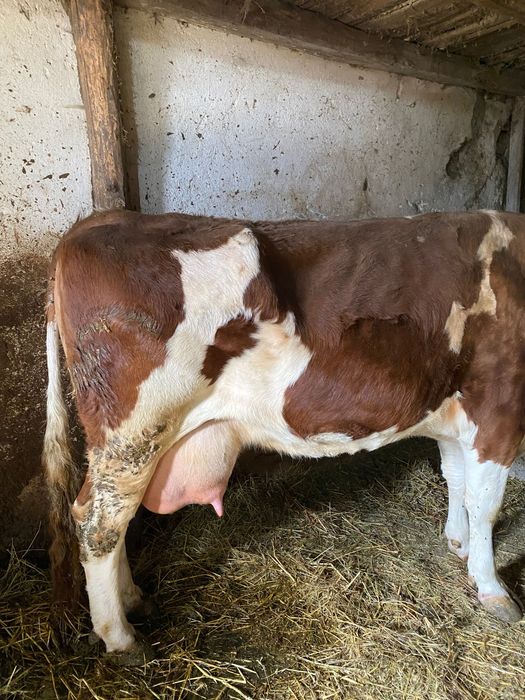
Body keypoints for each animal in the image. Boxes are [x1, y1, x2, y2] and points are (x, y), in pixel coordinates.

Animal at [43, 208, 525, 663]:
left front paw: (458, 542)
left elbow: (456, 479)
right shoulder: (500, 407)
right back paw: (120, 637)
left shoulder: (452, 407)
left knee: (115, 520)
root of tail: (95, 223)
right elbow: (486, 505)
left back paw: (134, 600)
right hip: (133, 430)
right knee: (98, 523)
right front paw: (492, 587)